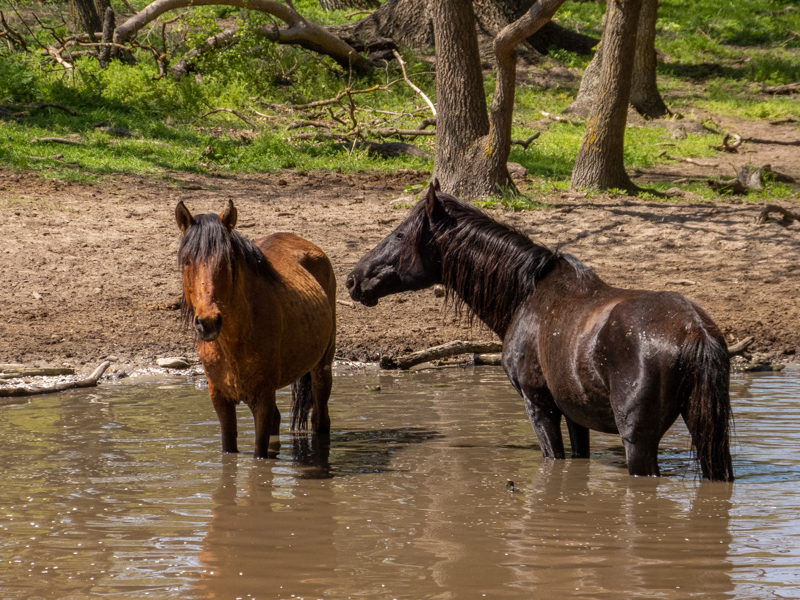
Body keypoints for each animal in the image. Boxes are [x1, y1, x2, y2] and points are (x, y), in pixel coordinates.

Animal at [175, 200, 336, 458]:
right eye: (188, 260)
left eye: (228, 261)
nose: (208, 322)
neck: (234, 344)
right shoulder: (220, 398)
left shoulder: (263, 397)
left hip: (322, 367)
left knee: (320, 421)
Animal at [346, 181, 733, 481]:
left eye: (400, 234)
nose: (353, 279)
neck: (526, 294)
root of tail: (695, 330)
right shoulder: (575, 413)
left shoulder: (538, 404)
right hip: (706, 430)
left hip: (638, 440)